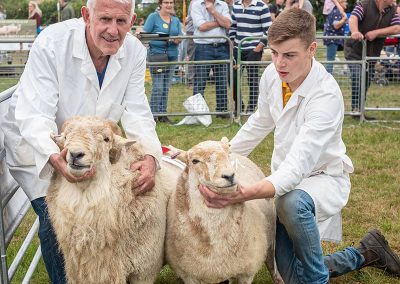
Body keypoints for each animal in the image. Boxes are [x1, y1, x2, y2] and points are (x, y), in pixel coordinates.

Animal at [164, 139, 282, 282]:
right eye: (195, 161)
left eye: (227, 153)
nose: (229, 176)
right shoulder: (189, 275)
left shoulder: (246, 273)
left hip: (270, 242)